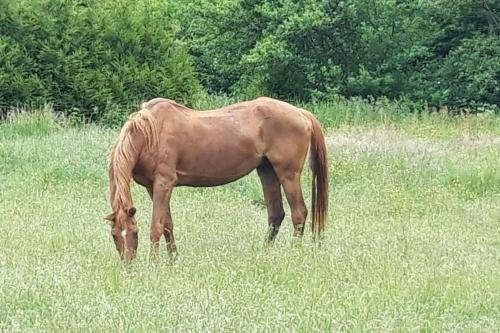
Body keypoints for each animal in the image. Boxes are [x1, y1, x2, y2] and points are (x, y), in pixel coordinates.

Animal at [105, 96, 328, 260]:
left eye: (134, 232)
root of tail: (301, 113)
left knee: (299, 212)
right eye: (115, 235)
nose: (128, 266)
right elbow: (167, 223)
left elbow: (156, 226)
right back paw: (264, 253)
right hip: (267, 171)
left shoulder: (163, 183)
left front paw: (154, 262)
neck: (151, 132)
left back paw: (294, 253)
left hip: (288, 174)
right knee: (276, 214)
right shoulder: (153, 187)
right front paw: (173, 259)